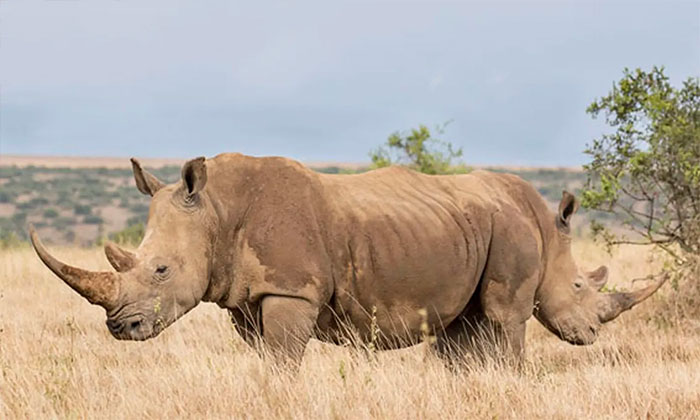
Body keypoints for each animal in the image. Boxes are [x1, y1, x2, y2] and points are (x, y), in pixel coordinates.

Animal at [30, 153, 666, 364]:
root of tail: (526, 202)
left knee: (501, 323)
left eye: (160, 270)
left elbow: (283, 361)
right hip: (471, 228)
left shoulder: (291, 289)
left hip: (502, 231)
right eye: (583, 286)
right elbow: (268, 360)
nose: (120, 327)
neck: (214, 209)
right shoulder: (250, 296)